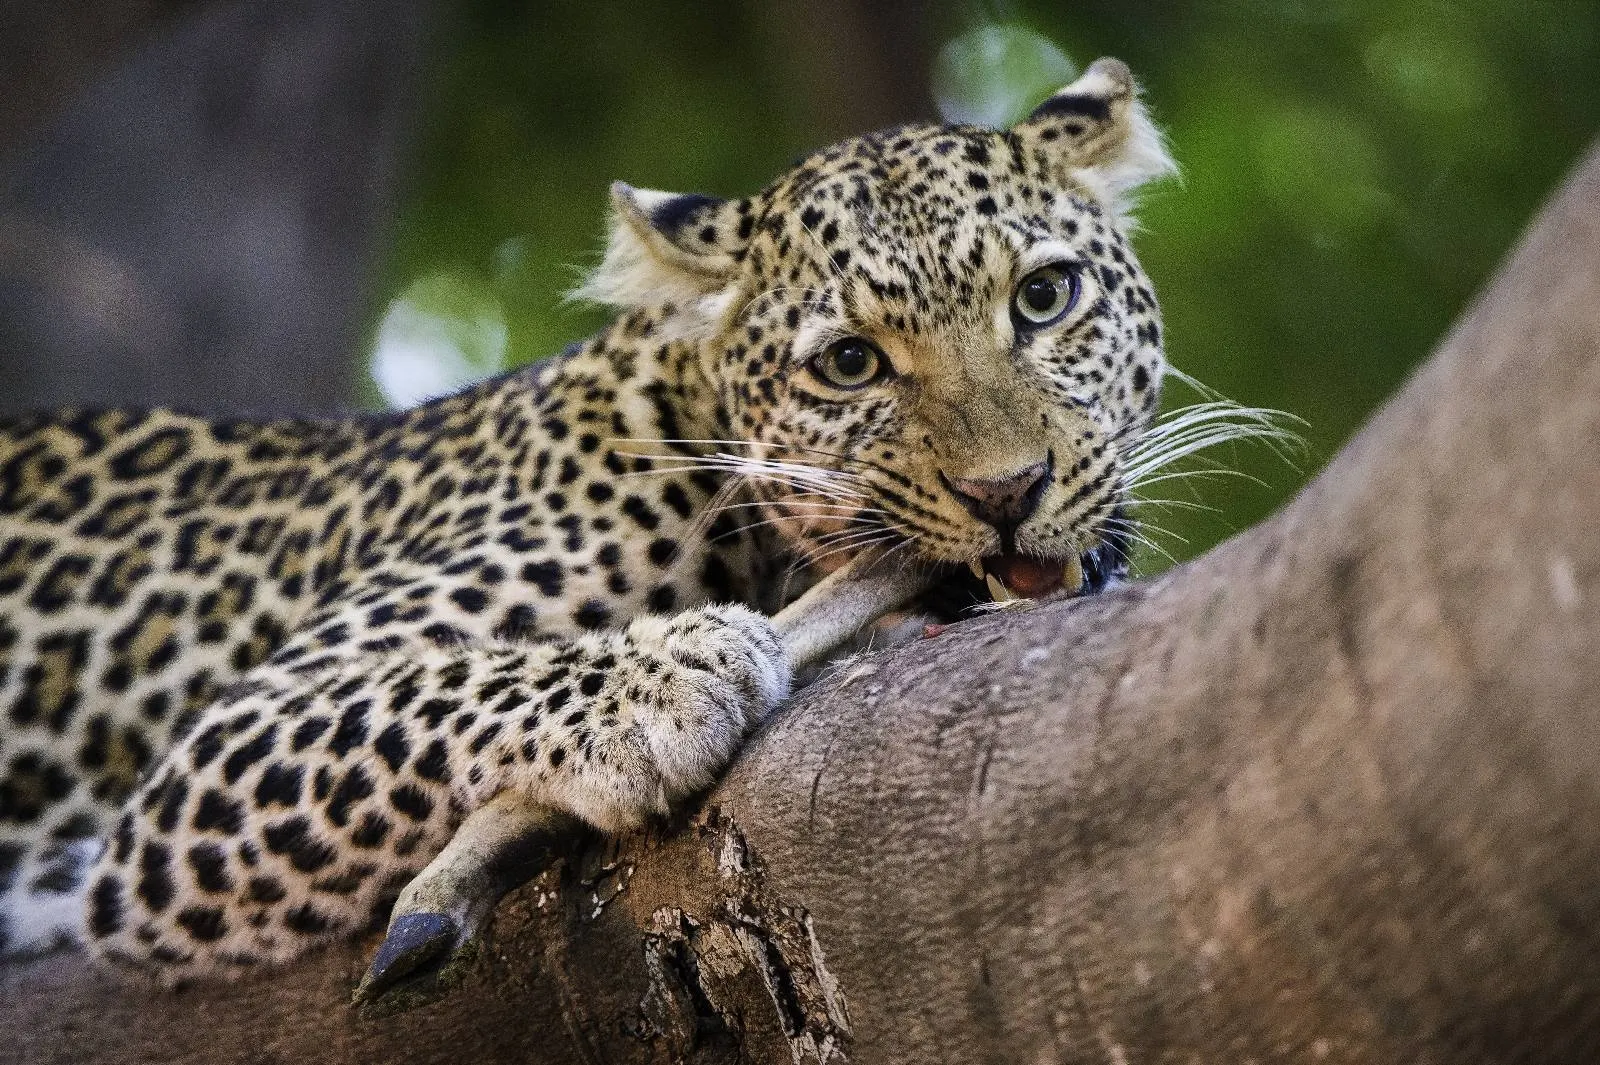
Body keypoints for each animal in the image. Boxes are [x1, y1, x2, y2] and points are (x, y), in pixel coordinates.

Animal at [0, 58, 1185, 987]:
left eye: (1044, 298)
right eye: (850, 364)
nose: (1008, 491)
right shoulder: (209, 764)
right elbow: (429, 687)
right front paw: (662, 682)